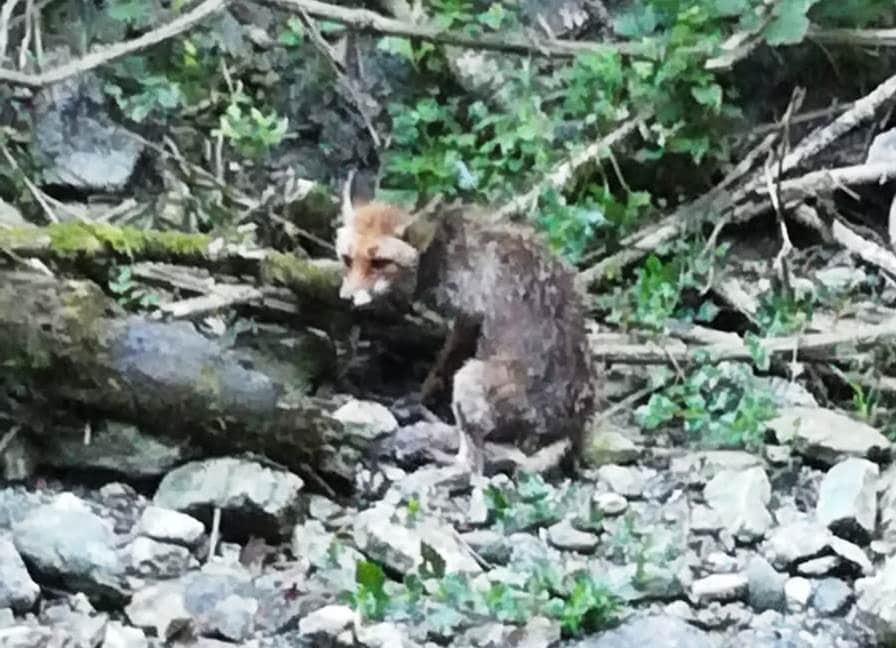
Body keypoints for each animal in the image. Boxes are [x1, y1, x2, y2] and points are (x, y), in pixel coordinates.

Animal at [334, 182, 596, 476]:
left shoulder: (470, 314)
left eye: (379, 262)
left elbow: (442, 363)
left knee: (473, 465)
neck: (443, 250)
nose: (348, 298)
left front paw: (421, 395)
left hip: (469, 378)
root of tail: (572, 426)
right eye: (347, 259)